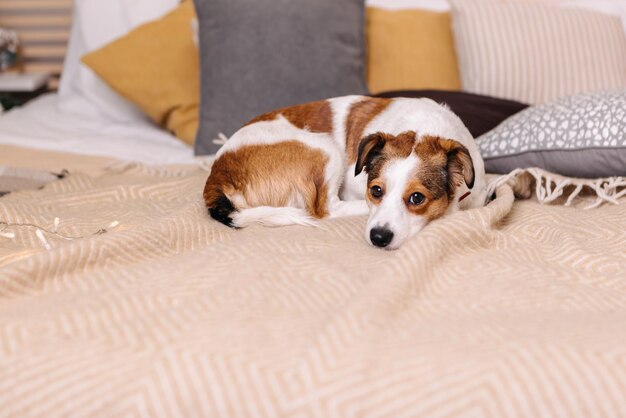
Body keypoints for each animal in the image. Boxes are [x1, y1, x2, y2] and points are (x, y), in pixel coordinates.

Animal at [202, 95, 486, 248]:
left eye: (417, 198)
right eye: (375, 191)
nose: (378, 237)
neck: (423, 129)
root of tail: (217, 175)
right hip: (325, 146)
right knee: (325, 209)